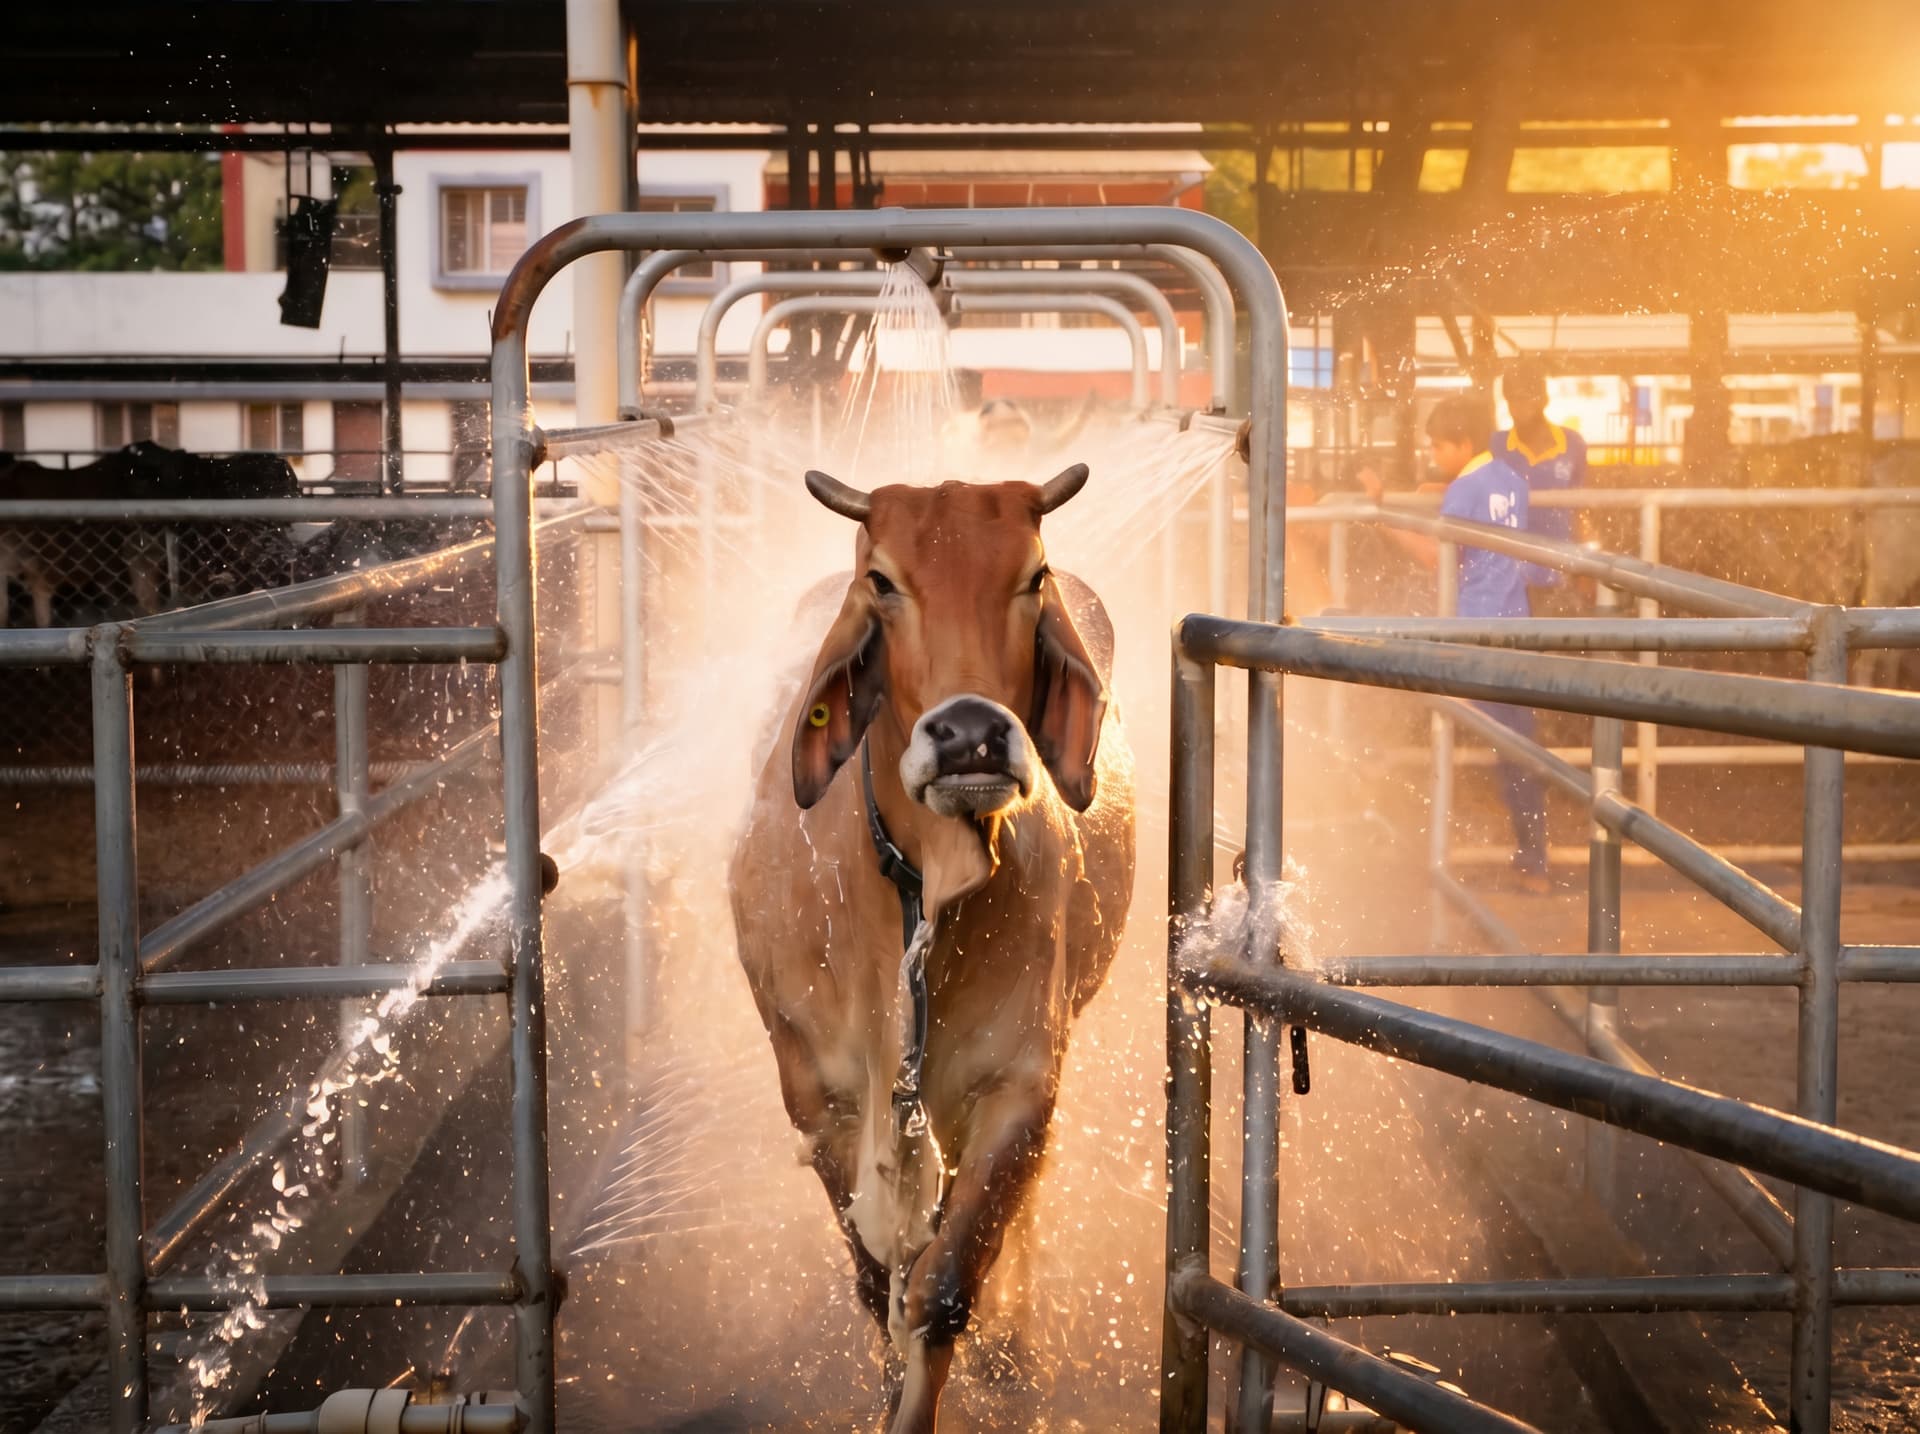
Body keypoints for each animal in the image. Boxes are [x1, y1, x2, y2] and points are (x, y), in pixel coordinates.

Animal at [728, 465, 1135, 1432]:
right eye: (881, 580)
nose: (971, 736)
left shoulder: (1021, 1085)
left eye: (1033, 575)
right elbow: (877, 1278)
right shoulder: (818, 1095)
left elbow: (942, 1290)